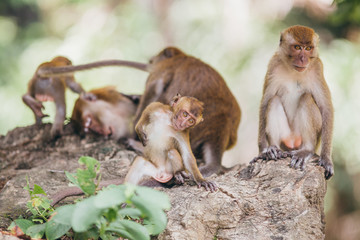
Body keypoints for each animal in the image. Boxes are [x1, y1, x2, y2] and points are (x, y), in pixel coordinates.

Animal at [252, 25, 334, 180]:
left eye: (308, 48)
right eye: (297, 47)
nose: (303, 58)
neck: (293, 70)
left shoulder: (317, 68)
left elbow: (325, 108)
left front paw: (326, 159)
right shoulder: (273, 64)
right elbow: (265, 102)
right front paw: (263, 151)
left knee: (306, 98)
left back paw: (306, 150)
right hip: (286, 137)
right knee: (274, 100)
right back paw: (273, 149)